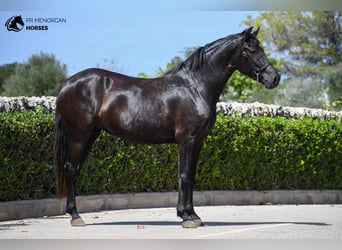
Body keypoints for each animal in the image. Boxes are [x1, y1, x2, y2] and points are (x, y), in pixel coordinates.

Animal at [56, 26, 280, 228]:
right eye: (252, 51)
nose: (275, 78)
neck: (195, 87)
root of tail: (67, 83)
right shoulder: (186, 140)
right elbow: (183, 176)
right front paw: (185, 217)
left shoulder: (198, 141)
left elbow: (191, 176)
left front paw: (193, 215)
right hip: (78, 135)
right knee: (70, 169)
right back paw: (75, 216)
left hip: (91, 134)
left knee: (76, 170)